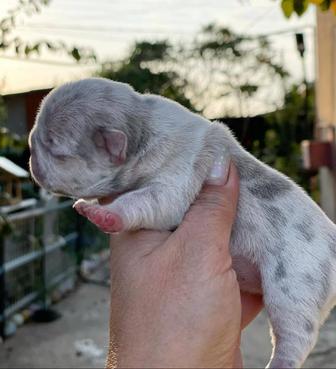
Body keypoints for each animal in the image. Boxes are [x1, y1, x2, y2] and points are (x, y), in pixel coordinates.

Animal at [29, 76, 336, 366]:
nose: (30, 151)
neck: (144, 130)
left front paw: (100, 214)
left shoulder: (174, 185)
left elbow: (141, 201)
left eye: (57, 150)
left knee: (295, 337)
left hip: (294, 288)